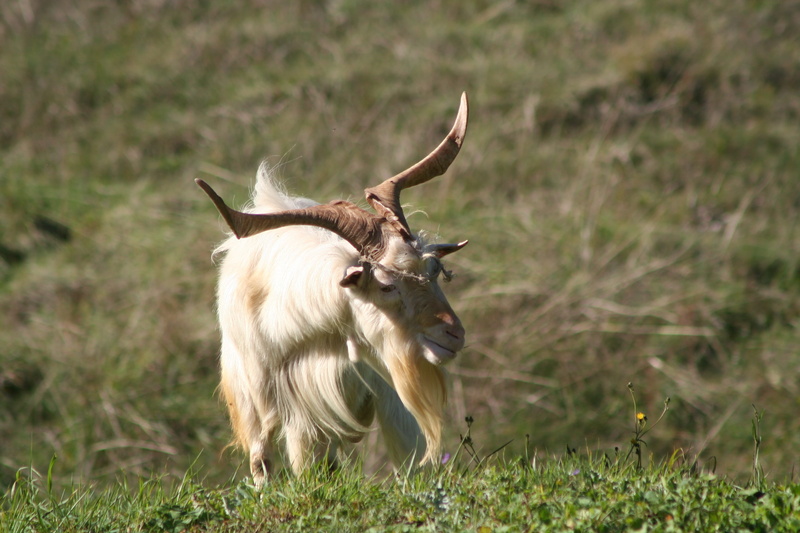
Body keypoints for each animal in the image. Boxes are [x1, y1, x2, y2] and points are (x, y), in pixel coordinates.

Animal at [196, 93, 469, 486]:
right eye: (386, 285)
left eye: (433, 270)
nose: (454, 334)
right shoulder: (269, 399)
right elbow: (264, 462)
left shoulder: (383, 395)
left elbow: (409, 458)